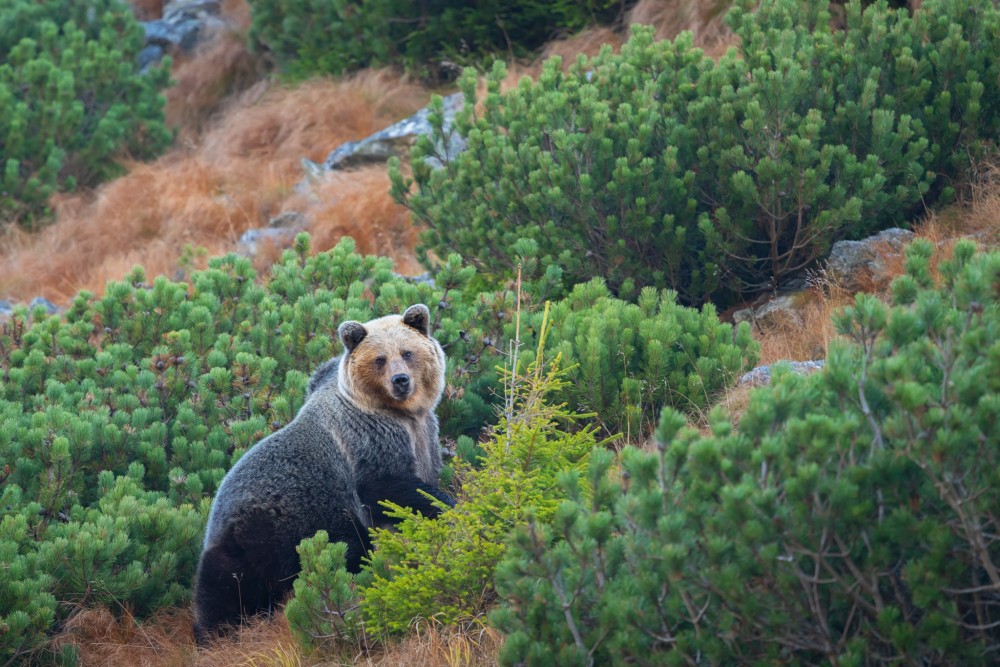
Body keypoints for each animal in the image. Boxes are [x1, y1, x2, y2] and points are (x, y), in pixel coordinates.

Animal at [191, 306, 450, 644]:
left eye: (407, 352)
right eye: (380, 359)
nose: (401, 380)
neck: (401, 414)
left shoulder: (423, 437)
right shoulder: (368, 441)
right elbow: (389, 487)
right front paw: (445, 505)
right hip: (268, 528)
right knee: (227, 589)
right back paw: (213, 634)